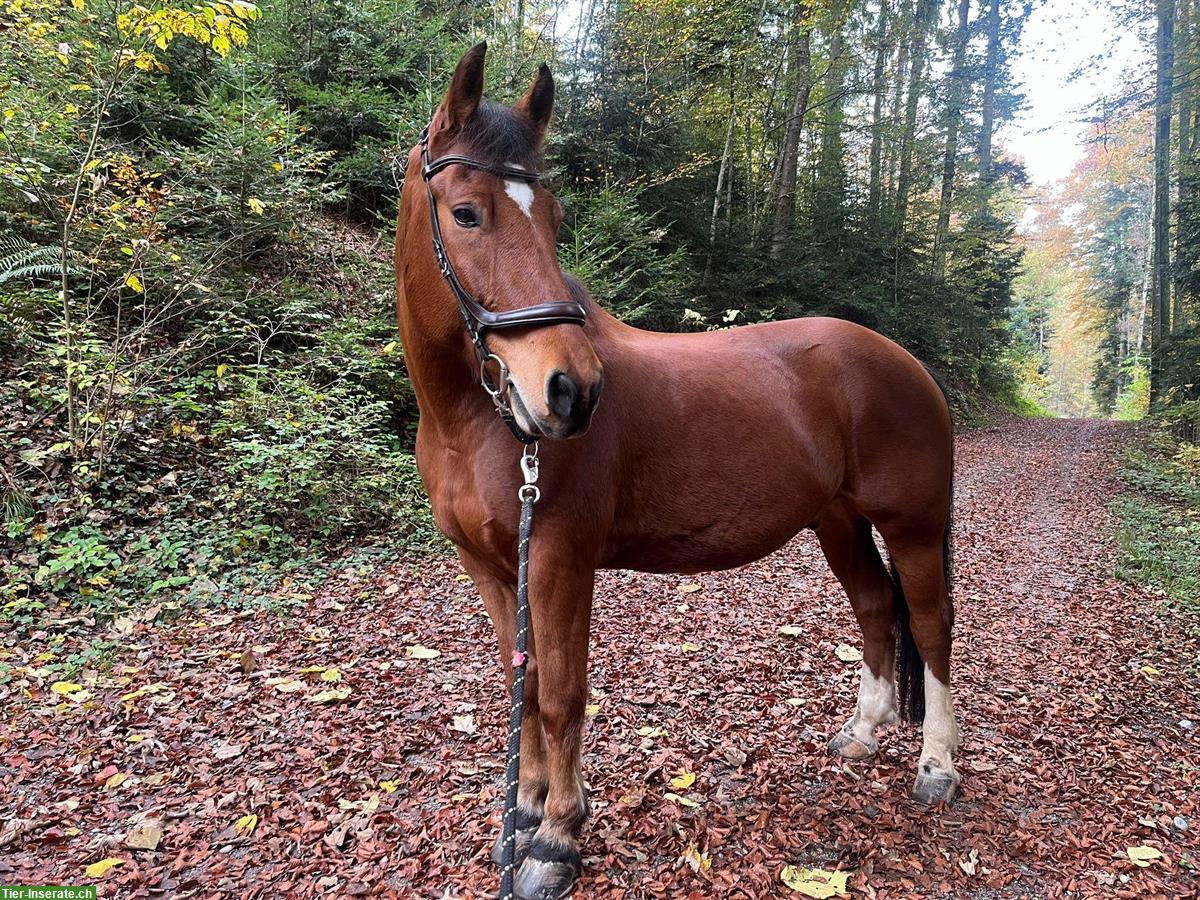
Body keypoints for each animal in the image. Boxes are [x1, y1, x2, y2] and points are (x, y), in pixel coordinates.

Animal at [398, 44, 960, 900]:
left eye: (554, 219)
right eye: (466, 213)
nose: (571, 390)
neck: (475, 423)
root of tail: (906, 362)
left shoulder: (559, 560)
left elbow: (561, 696)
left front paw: (556, 839)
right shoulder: (492, 569)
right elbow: (520, 691)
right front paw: (522, 815)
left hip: (914, 526)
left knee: (929, 627)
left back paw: (936, 767)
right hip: (837, 521)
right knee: (873, 608)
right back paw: (861, 735)